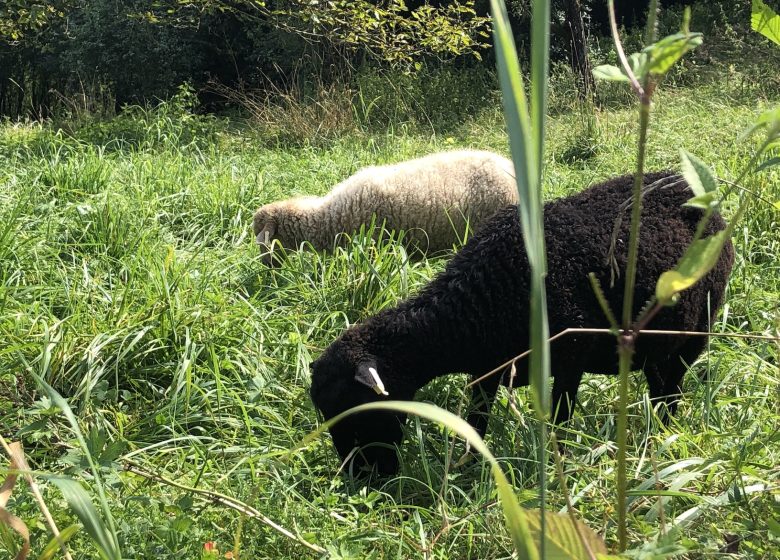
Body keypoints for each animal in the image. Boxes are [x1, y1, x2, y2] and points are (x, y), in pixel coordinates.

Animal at [310, 170, 732, 472]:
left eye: (357, 406)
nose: (364, 479)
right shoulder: (488, 369)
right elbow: (476, 420)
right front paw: (469, 466)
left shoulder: (570, 354)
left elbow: (560, 416)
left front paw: (558, 463)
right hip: (656, 342)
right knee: (661, 383)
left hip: (698, 328)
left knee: (673, 385)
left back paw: (663, 435)